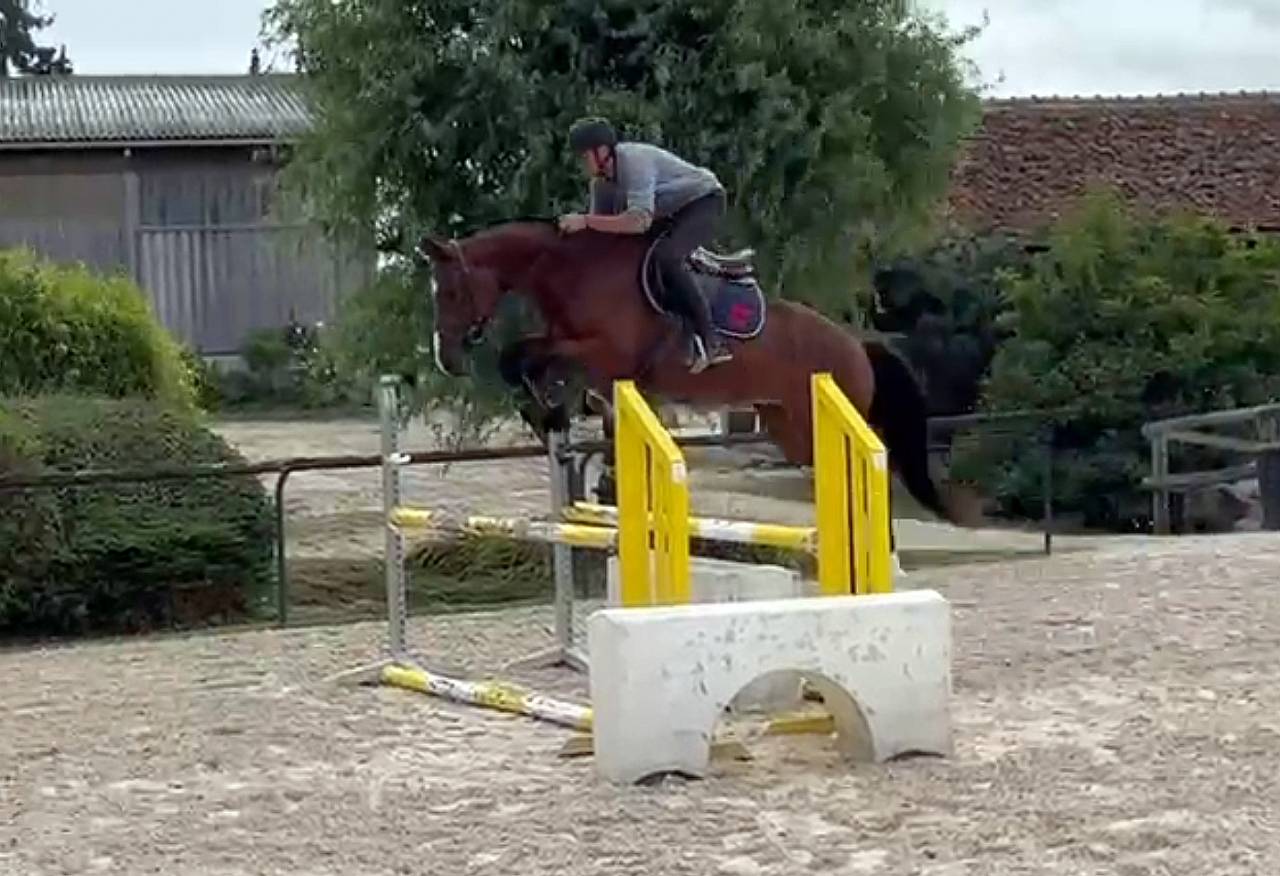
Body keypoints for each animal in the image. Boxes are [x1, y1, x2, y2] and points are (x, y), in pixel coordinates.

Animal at [416, 218, 976, 528]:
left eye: (453, 291)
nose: (447, 358)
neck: (573, 272)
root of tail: (856, 344)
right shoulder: (570, 348)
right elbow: (519, 358)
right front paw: (547, 415)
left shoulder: (605, 354)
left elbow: (528, 359)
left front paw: (549, 409)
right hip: (789, 427)